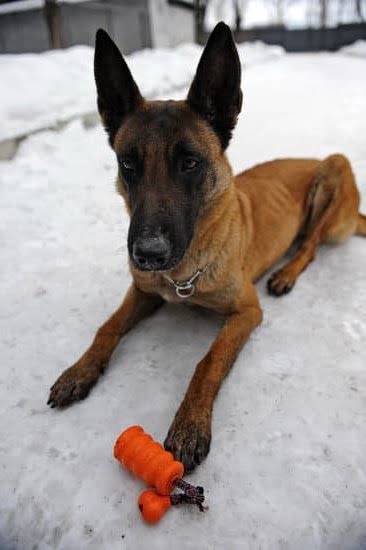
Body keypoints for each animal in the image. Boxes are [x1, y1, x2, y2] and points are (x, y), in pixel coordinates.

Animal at [47, 22, 364, 474]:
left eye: (190, 163)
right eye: (128, 163)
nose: (148, 255)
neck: (182, 275)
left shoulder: (247, 312)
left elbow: (208, 360)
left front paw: (189, 424)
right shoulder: (143, 290)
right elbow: (107, 326)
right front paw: (80, 370)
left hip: (334, 171)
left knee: (311, 245)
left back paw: (286, 272)